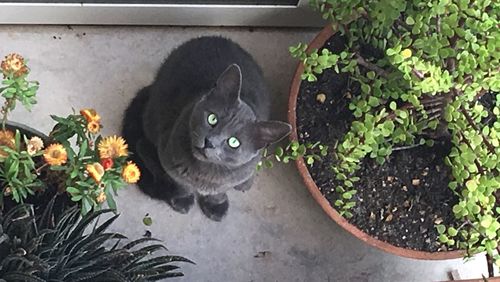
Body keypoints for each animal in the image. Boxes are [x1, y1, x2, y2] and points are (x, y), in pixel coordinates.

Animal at [122, 35, 292, 220]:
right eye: (212, 118)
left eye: (234, 142)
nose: (210, 142)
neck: (205, 173)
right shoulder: (170, 161)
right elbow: (181, 184)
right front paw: (182, 200)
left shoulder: (231, 178)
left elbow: (218, 191)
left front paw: (216, 205)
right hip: (154, 119)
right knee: (142, 145)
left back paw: (245, 183)